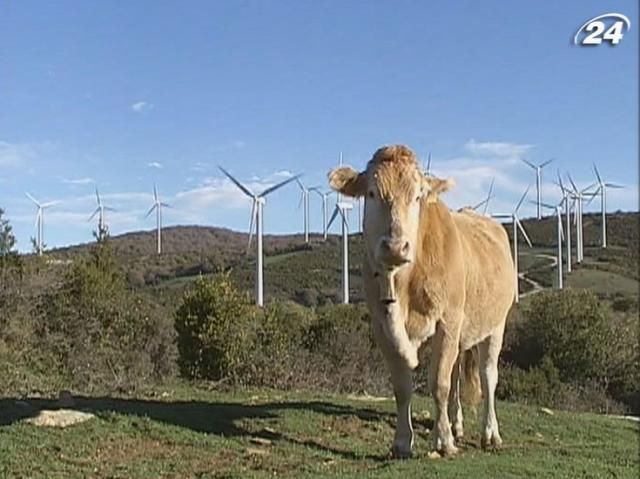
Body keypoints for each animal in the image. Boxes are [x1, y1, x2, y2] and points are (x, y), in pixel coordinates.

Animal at [330, 145, 516, 458]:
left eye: (417, 196)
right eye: (371, 193)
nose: (395, 246)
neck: (402, 283)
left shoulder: (448, 321)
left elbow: (438, 381)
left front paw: (443, 441)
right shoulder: (381, 326)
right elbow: (403, 386)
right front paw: (402, 442)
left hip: (496, 324)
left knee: (488, 376)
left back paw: (490, 434)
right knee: (456, 375)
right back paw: (457, 424)